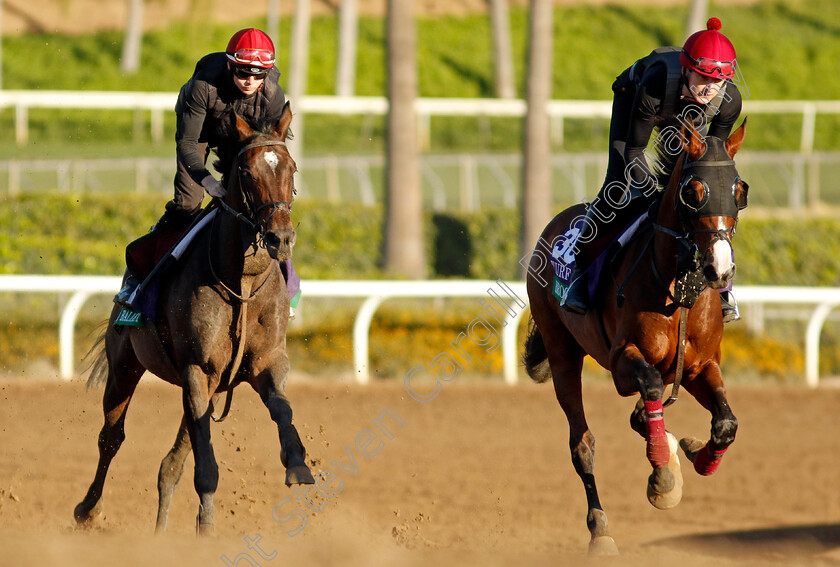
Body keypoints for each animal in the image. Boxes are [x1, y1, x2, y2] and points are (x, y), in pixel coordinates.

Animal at [72, 106, 314, 536]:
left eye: (292, 168)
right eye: (246, 172)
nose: (281, 237)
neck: (242, 282)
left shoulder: (266, 362)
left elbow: (282, 409)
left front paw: (298, 462)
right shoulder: (197, 369)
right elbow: (206, 467)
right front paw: (207, 532)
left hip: (211, 387)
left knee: (171, 463)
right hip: (126, 364)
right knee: (111, 438)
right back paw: (89, 510)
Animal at [524, 122, 748, 556]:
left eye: (739, 189)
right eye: (693, 191)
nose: (720, 269)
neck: (681, 289)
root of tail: (554, 223)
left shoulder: (699, 366)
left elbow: (726, 424)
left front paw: (694, 455)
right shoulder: (621, 362)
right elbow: (650, 385)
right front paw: (663, 477)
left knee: (642, 415)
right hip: (562, 352)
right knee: (582, 444)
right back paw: (601, 531)